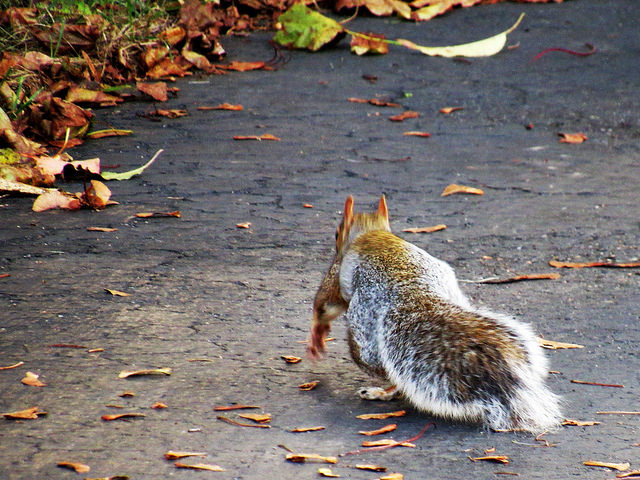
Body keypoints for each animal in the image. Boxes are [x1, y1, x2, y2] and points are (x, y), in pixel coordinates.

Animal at [308, 195, 562, 433]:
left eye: (337, 233)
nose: (336, 239)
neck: (373, 231)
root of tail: (412, 291)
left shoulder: (336, 273)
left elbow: (324, 304)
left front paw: (317, 334)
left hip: (363, 327)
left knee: (378, 363)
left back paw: (383, 391)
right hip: (452, 293)